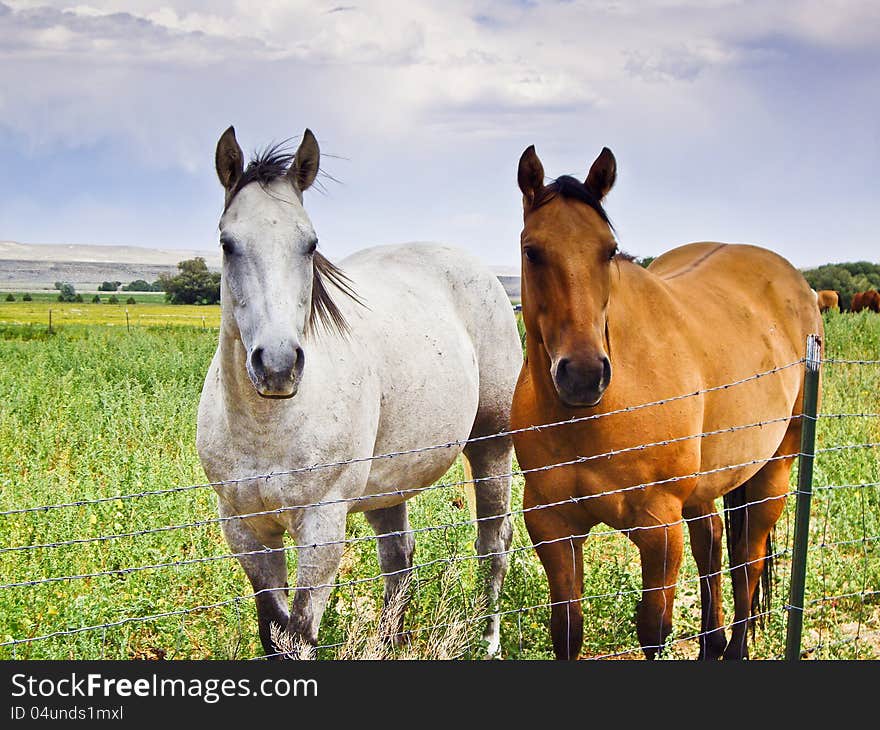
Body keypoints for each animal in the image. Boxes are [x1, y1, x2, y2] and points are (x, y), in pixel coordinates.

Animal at [196, 125, 524, 656]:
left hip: (491, 445)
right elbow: (272, 630)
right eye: (228, 243)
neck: (267, 427)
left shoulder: (322, 529)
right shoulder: (246, 530)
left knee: (493, 541)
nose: (278, 365)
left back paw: (489, 638)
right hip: (388, 483)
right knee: (399, 558)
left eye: (309, 244)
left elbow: (299, 634)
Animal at [512, 144, 820, 660]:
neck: (591, 417)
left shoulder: (658, 528)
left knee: (748, 562)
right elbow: (567, 630)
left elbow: (654, 629)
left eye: (608, 250)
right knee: (712, 541)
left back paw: (734, 648)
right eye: (532, 250)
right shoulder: (551, 523)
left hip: (774, 469)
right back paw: (712, 643)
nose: (583, 375)